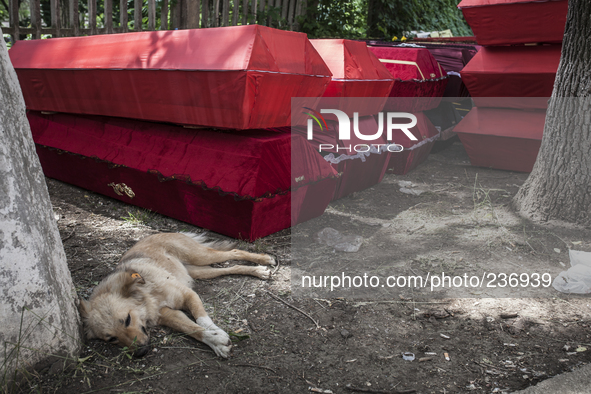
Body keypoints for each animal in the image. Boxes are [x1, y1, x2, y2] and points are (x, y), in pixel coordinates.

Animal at [77, 232, 278, 358]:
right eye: (111, 339)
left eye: (127, 319)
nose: (141, 354)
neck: (147, 297)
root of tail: (155, 233)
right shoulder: (170, 315)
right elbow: (192, 329)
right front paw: (215, 341)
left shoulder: (188, 294)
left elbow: (203, 319)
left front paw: (217, 331)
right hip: (200, 271)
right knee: (231, 267)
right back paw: (259, 271)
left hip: (199, 256)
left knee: (234, 252)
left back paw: (264, 259)